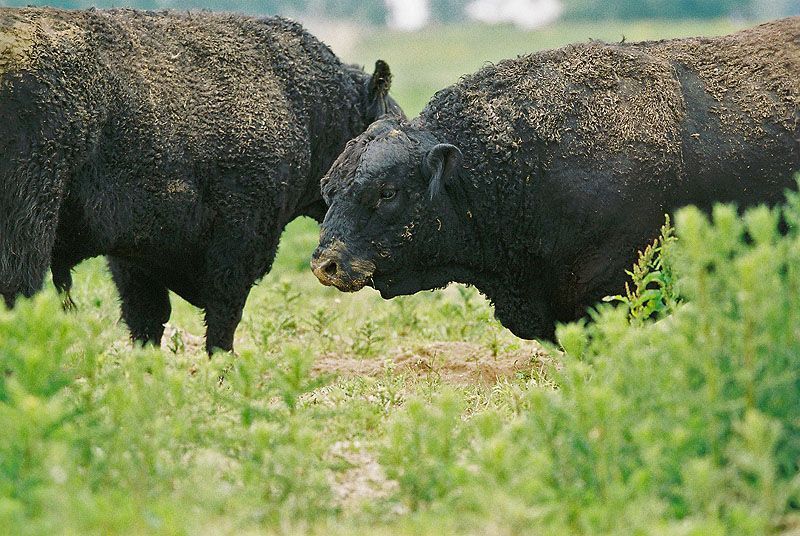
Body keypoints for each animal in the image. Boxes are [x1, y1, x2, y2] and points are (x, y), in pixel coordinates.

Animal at [0, 8, 400, 354]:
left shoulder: (133, 256)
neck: (304, 103)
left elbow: (147, 323)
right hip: (27, 233)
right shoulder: (238, 245)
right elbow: (221, 323)